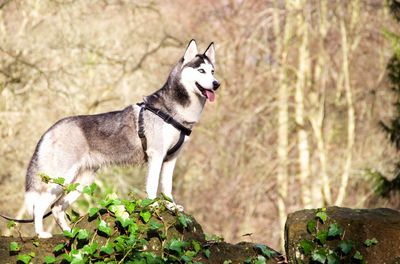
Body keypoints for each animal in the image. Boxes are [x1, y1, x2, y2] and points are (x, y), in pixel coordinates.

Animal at [22, 39, 219, 239]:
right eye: (201, 70)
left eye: (212, 71)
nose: (216, 84)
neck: (173, 111)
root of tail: (51, 129)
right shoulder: (156, 155)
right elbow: (152, 186)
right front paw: (153, 205)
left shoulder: (170, 159)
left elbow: (167, 187)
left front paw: (171, 206)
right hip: (60, 178)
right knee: (39, 206)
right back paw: (41, 233)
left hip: (82, 182)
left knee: (56, 208)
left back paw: (71, 234)